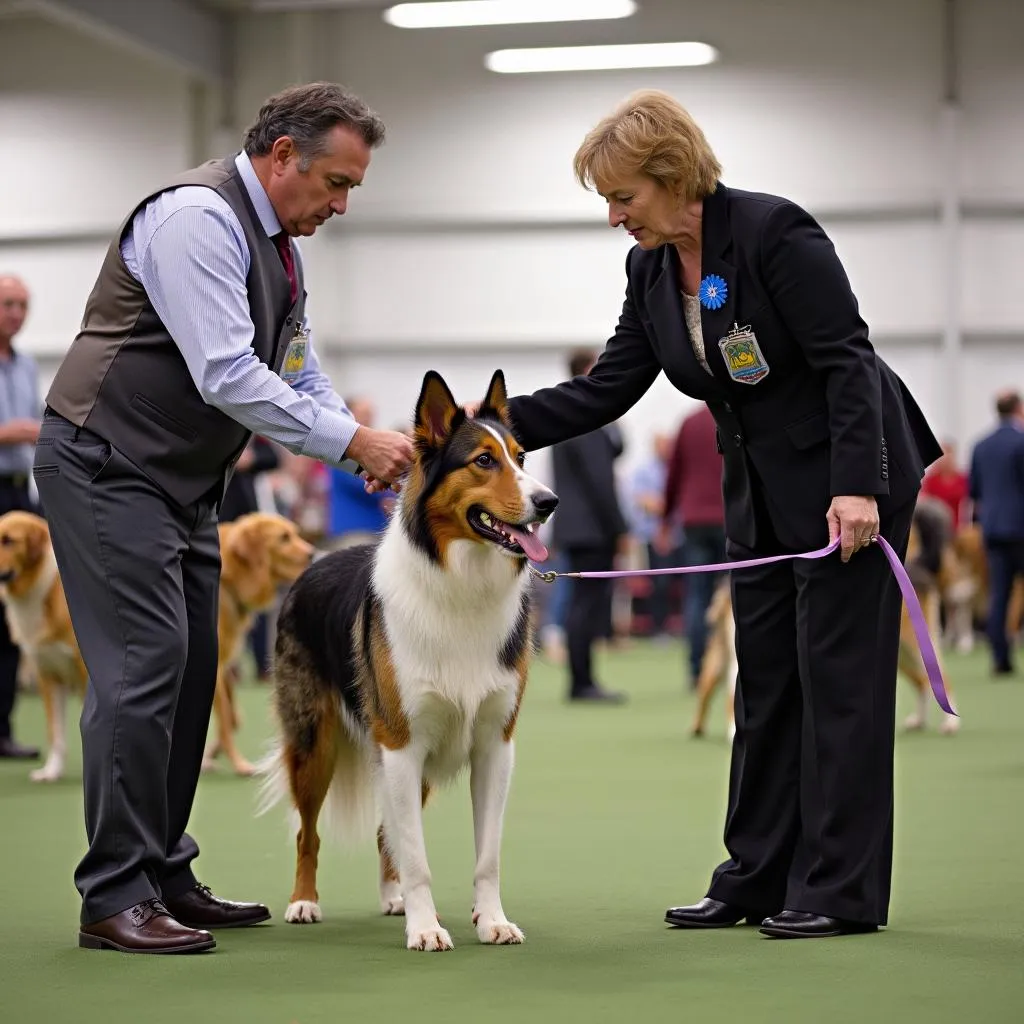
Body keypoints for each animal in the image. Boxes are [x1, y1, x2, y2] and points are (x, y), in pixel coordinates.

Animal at [199, 512, 311, 774]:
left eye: (294, 532)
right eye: (283, 538)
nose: (312, 552)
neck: (233, 578)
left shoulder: (223, 666)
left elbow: (233, 717)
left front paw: (211, 754)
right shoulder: (214, 667)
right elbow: (226, 719)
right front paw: (238, 763)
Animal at [260, 370, 557, 950]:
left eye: (521, 457)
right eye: (483, 461)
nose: (549, 500)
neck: (461, 585)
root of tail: (315, 560)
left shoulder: (493, 744)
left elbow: (486, 855)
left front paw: (491, 920)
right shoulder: (401, 742)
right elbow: (417, 858)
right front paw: (426, 928)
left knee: (384, 832)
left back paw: (393, 898)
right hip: (315, 743)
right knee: (309, 832)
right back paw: (304, 902)